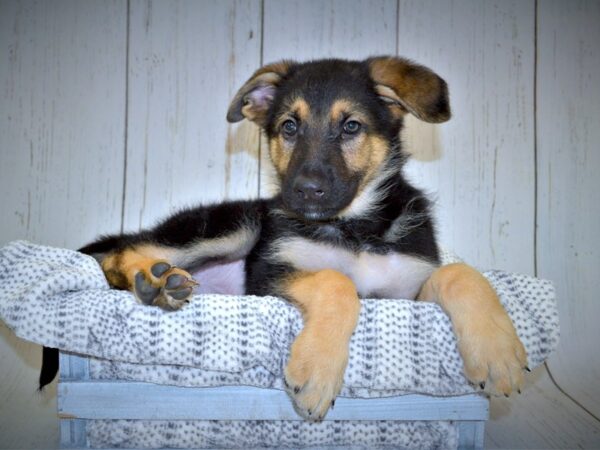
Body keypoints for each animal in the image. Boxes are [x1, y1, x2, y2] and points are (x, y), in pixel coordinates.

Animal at [38, 57, 524, 422]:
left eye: (351, 127)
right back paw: (155, 280)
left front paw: (498, 353)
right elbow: (335, 282)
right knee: (121, 253)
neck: (354, 227)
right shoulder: (268, 272)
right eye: (289, 127)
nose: (306, 190)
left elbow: (460, 274)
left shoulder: (406, 291)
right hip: (236, 226)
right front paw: (317, 370)